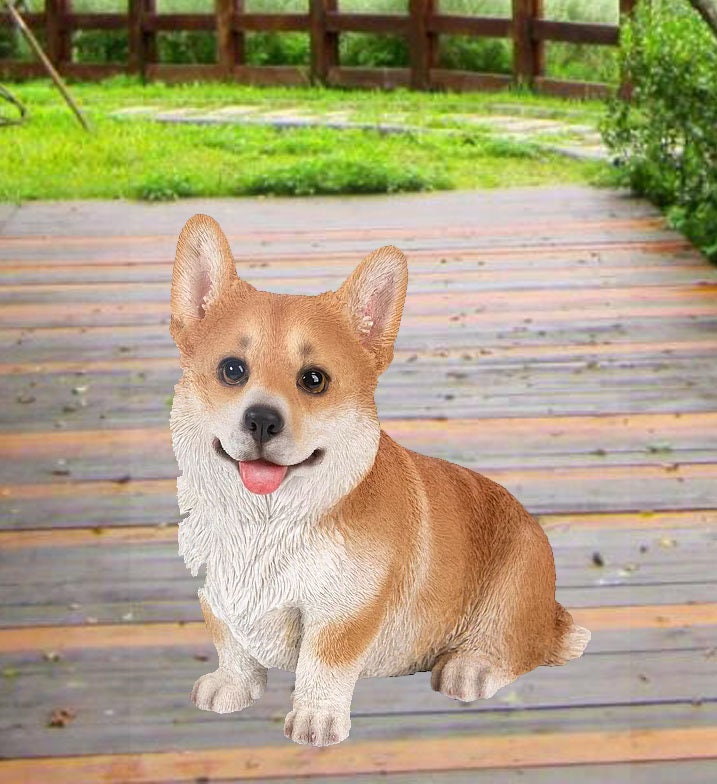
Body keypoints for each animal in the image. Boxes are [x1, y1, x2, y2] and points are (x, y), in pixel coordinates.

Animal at [171, 213, 592, 748]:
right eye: (232, 370)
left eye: (314, 380)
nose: (262, 419)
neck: (268, 522)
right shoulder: (215, 593)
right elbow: (231, 642)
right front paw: (232, 685)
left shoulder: (343, 611)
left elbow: (323, 665)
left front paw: (316, 719)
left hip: (514, 588)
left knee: (519, 647)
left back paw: (470, 667)